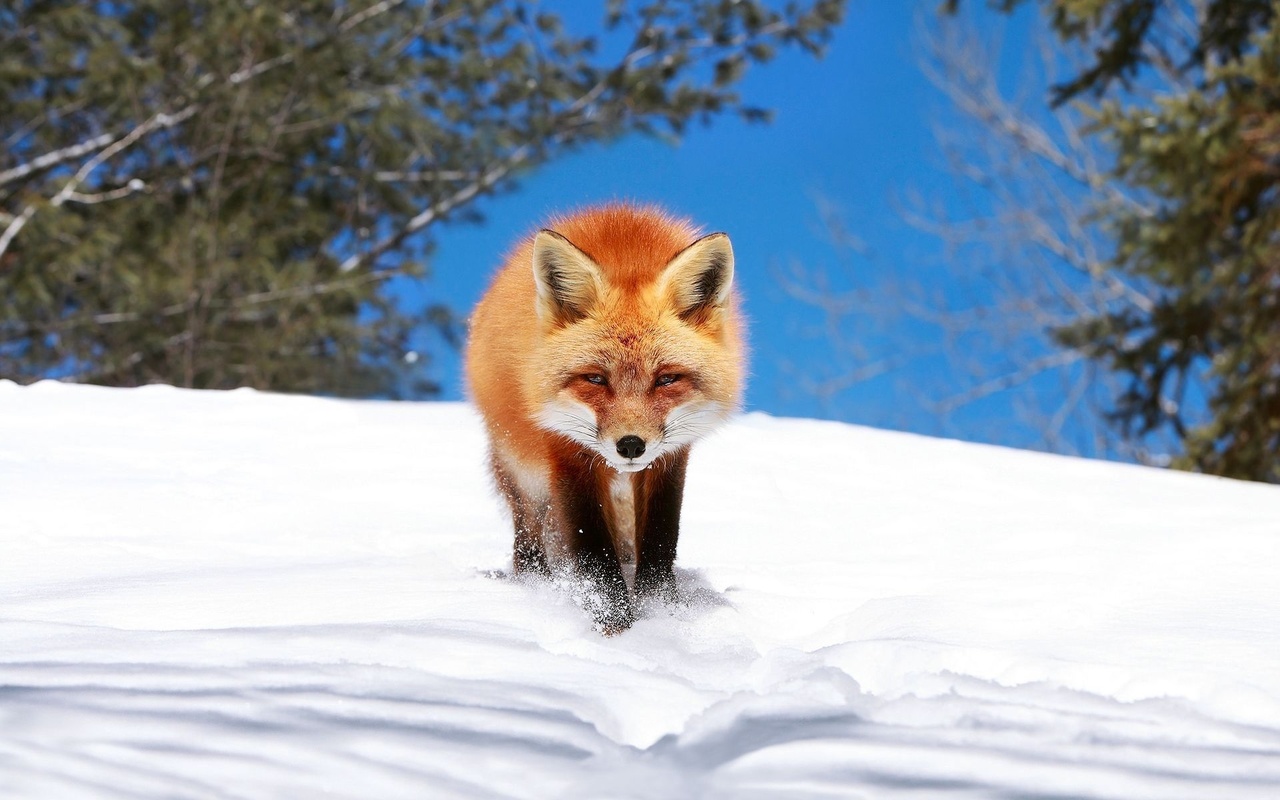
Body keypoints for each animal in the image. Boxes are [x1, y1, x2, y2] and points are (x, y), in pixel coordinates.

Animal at [465, 202, 747, 632]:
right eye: (596, 379)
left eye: (666, 379)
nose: (630, 445)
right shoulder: (567, 448)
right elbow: (593, 548)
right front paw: (614, 624)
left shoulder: (670, 456)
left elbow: (661, 538)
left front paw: (660, 614)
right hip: (523, 472)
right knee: (528, 536)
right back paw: (534, 585)